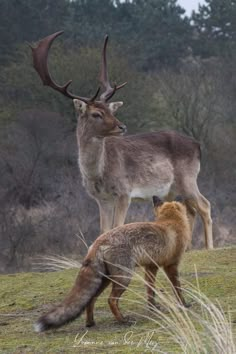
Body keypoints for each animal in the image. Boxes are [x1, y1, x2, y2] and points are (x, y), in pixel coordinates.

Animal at [33, 196, 195, 332]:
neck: (171, 222)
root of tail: (98, 242)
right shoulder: (171, 265)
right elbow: (177, 289)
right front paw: (184, 305)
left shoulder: (150, 267)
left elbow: (150, 291)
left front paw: (153, 307)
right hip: (124, 278)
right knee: (111, 300)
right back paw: (122, 320)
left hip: (106, 279)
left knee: (91, 299)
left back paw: (90, 323)